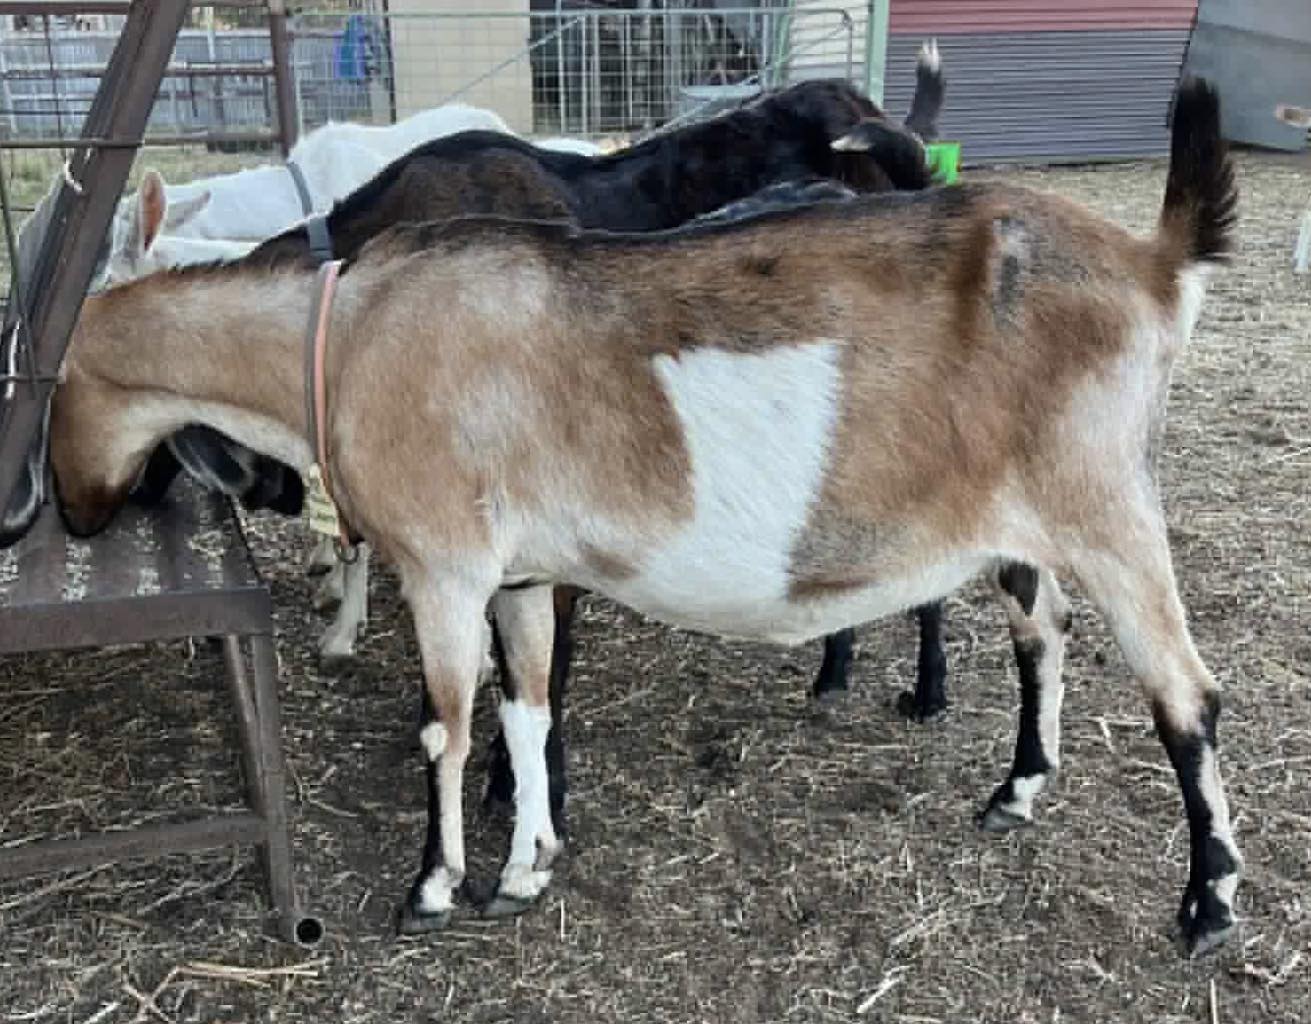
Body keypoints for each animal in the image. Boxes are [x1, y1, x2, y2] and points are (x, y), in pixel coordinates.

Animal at [28, 77, 1242, 955]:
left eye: (43, 395)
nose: (77, 524)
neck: (349, 333)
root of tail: (1151, 260)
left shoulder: (447, 564)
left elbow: (448, 724)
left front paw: (433, 884)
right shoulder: (518, 574)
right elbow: (524, 711)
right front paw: (525, 865)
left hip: (1106, 500)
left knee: (1185, 695)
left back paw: (1209, 904)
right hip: (1020, 521)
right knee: (1047, 636)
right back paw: (1017, 790)